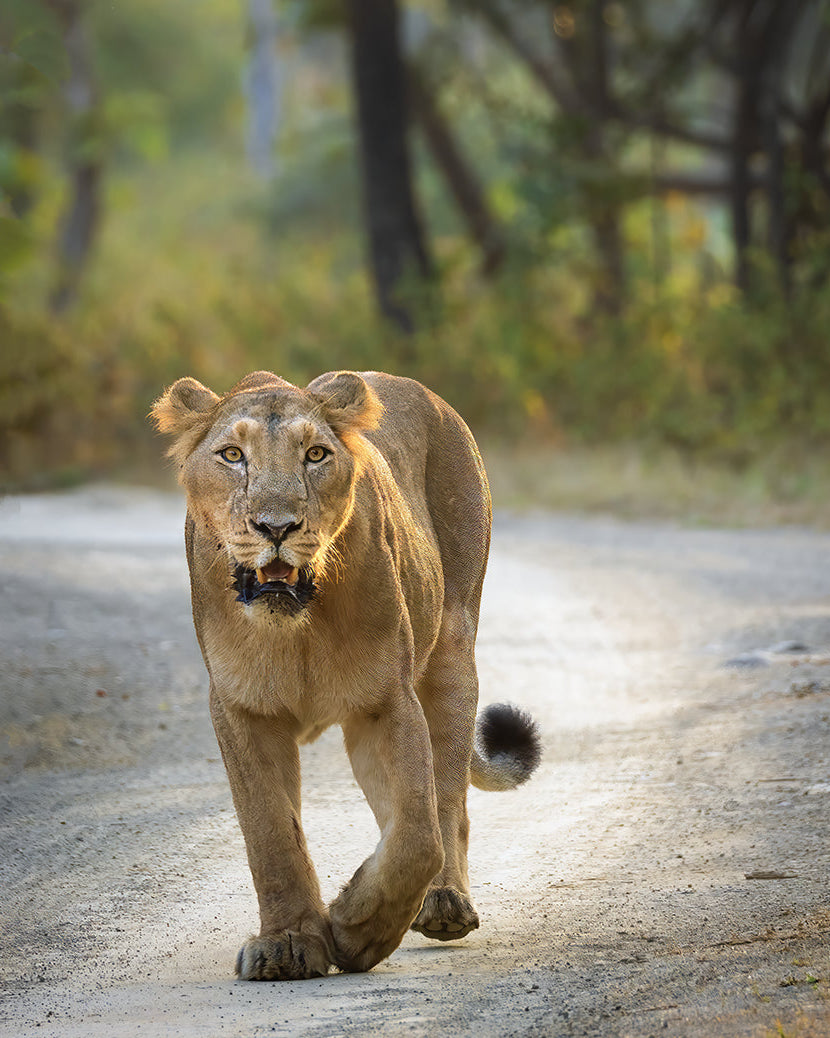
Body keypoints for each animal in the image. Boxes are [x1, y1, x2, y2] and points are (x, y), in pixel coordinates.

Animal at [152, 369, 541, 980]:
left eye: (316, 454)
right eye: (232, 455)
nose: (278, 527)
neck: (298, 627)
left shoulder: (387, 700)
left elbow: (416, 836)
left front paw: (355, 930)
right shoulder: (241, 709)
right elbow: (271, 834)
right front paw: (288, 944)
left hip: (453, 653)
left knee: (446, 799)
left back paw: (445, 903)